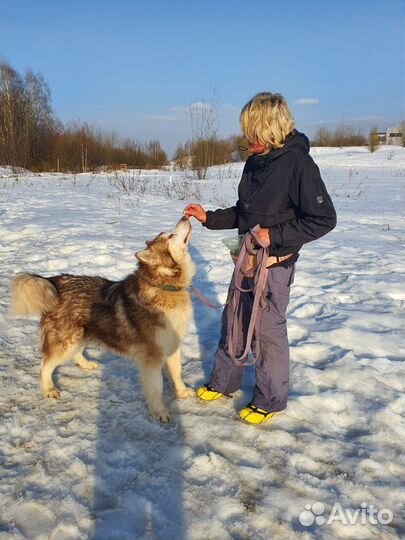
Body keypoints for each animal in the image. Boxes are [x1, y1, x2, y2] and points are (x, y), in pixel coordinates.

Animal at [10, 215, 196, 422]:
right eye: (170, 236)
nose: (185, 216)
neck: (164, 287)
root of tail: (55, 281)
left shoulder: (173, 345)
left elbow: (177, 373)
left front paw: (182, 392)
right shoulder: (153, 357)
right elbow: (157, 389)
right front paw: (160, 411)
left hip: (81, 334)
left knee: (74, 354)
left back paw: (86, 364)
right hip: (66, 340)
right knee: (45, 365)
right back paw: (48, 389)